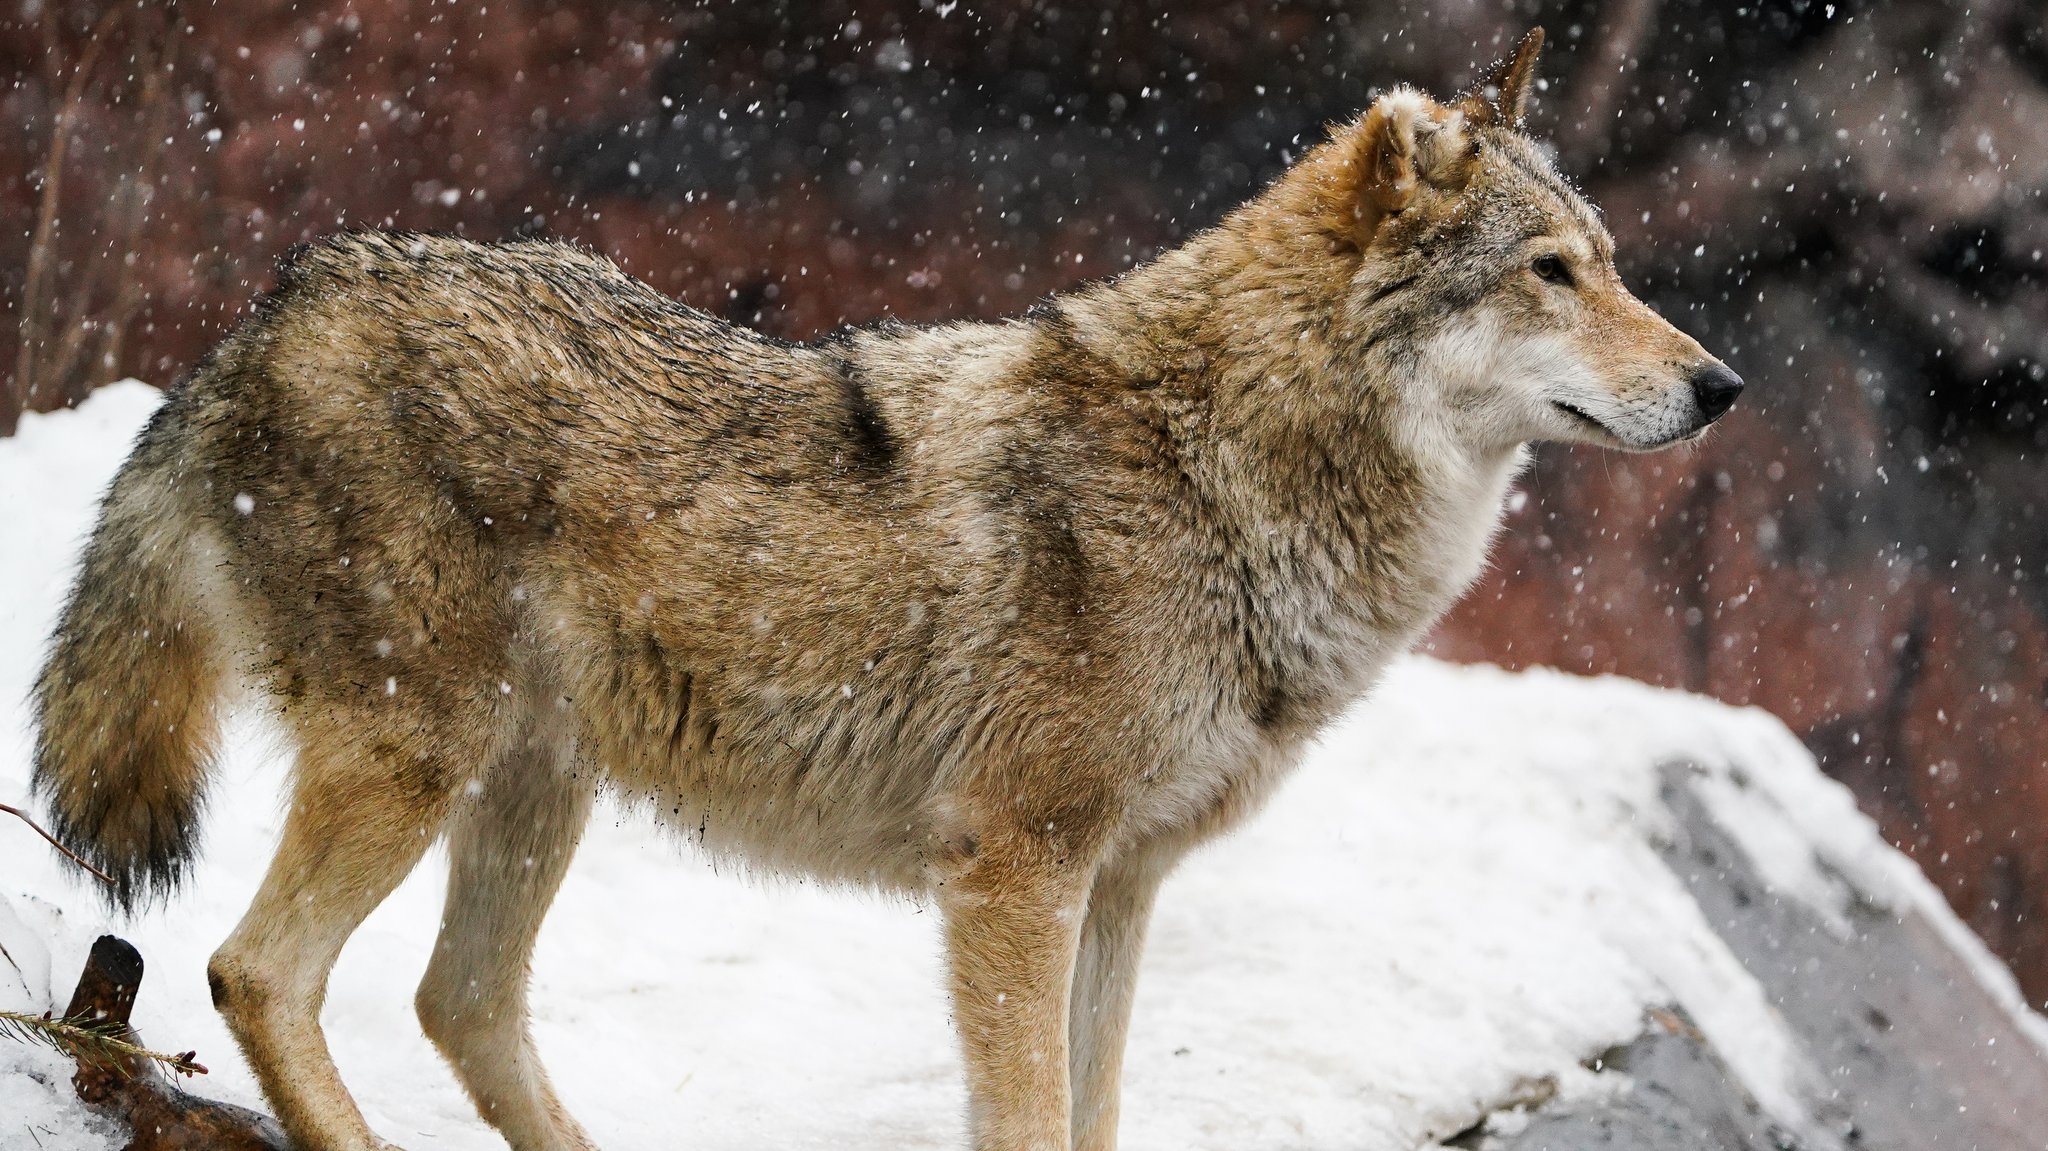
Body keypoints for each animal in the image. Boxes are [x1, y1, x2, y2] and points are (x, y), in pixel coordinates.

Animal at [32, 31, 1728, 1146]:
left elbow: (1098, 1112)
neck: (1222, 468)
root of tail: (279, 299)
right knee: (263, 968)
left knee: (460, 999)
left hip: (534, 784)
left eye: (1613, 260)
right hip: (419, 756)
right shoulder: (1014, 873)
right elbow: (1029, 1118)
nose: (1722, 386)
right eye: (1554, 273)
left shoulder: (1121, 885)